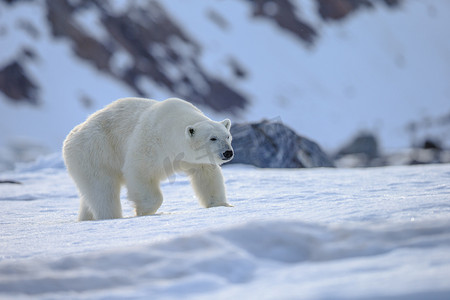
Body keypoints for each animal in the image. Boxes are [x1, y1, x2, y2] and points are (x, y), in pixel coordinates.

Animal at [62, 98, 234, 220]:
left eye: (227, 136)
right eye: (212, 138)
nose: (228, 153)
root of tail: (71, 136)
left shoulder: (194, 159)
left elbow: (207, 175)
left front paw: (221, 205)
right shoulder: (151, 143)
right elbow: (140, 171)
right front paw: (144, 211)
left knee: (90, 195)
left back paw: (86, 218)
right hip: (94, 152)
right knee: (103, 190)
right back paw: (111, 217)